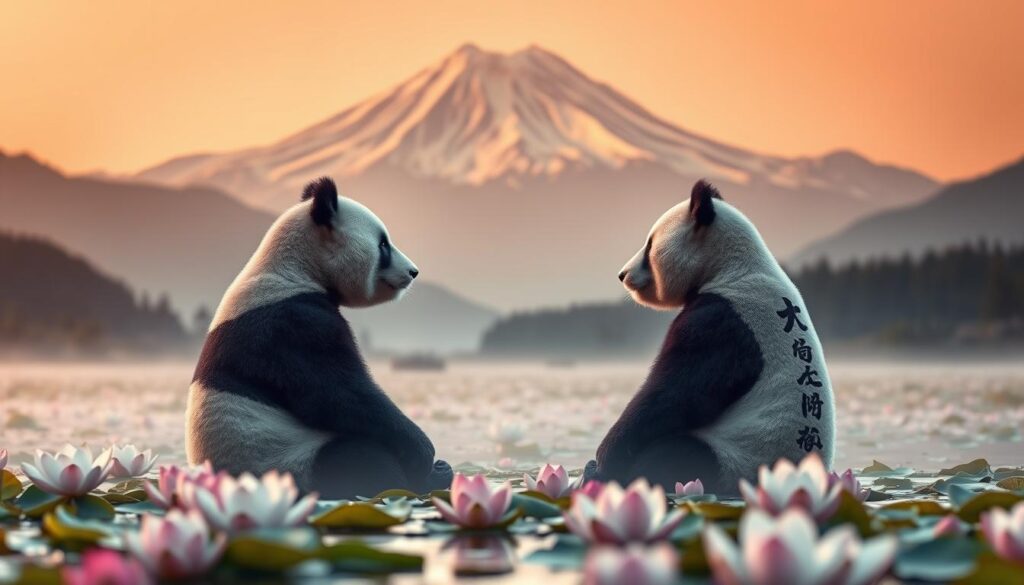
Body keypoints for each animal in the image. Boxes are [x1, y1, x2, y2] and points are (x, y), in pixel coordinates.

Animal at [187, 177, 452, 498]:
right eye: (383, 244)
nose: (413, 272)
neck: (294, 269)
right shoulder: (292, 326)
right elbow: (337, 395)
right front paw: (423, 454)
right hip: (288, 461)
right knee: (357, 458)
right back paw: (429, 478)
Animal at [590, 180, 835, 494]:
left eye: (650, 244)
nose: (623, 275)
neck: (731, 266)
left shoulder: (725, 320)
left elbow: (676, 393)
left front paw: (606, 458)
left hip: (739, 457)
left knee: (675, 455)